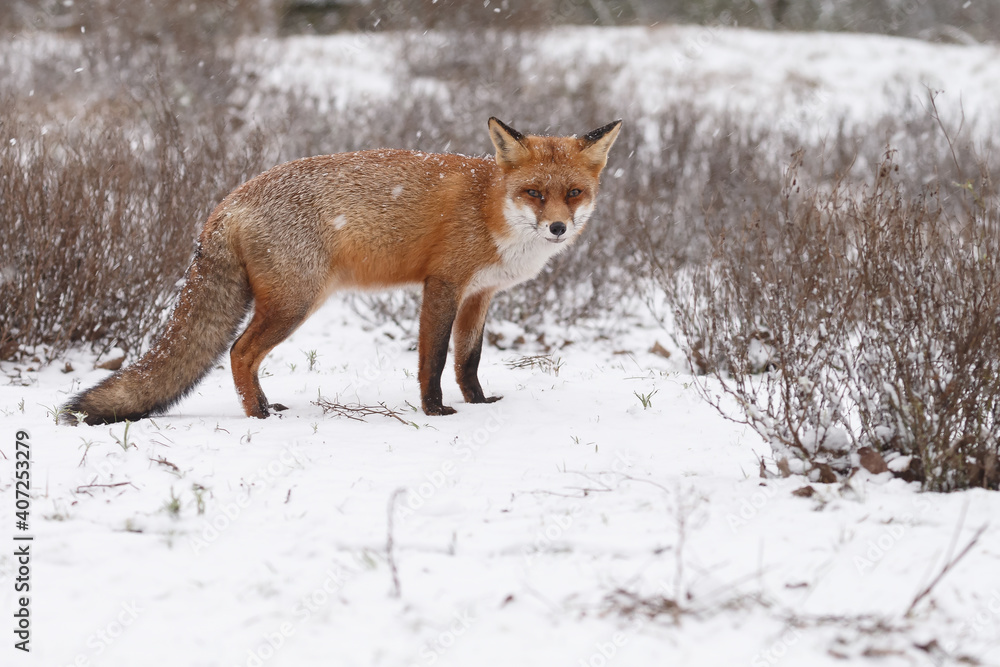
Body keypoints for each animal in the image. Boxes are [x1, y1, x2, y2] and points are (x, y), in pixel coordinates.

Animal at [62, 117, 620, 426]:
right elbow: (435, 359)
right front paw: (435, 412)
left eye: (573, 193)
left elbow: (468, 360)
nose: (557, 228)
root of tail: (227, 202)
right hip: (295, 303)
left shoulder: (480, 294)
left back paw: (266, 407)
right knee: (240, 352)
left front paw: (480, 404)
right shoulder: (442, 285)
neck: (490, 209)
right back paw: (258, 417)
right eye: (533, 192)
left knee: (244, 356)